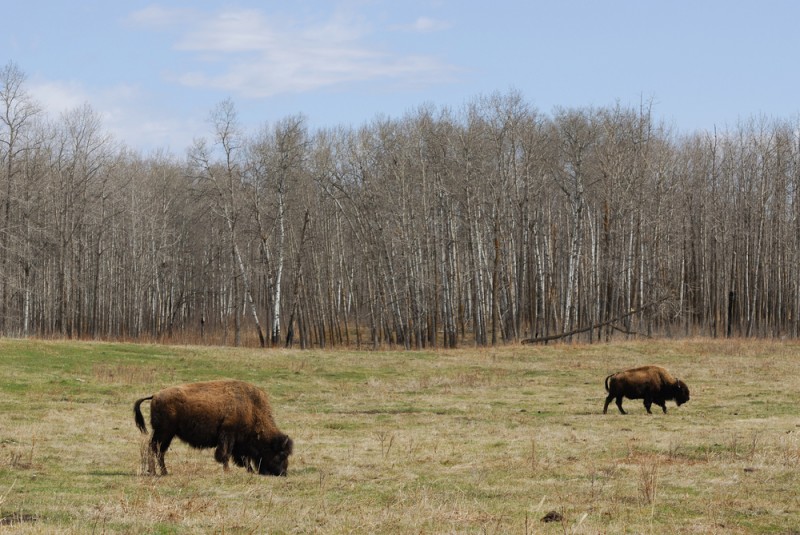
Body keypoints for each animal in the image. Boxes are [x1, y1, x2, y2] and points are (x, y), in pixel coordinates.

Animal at [134, 382, 294, 478]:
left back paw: (164, 472)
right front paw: (228, 470)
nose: (283, 473)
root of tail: (155, 395)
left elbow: (243, 457)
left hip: (167, 434)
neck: (251, 408)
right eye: (281, 454)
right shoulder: (228, 435)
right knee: (154, 448)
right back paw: (154, 472)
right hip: (164, 432)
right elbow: (225, 454)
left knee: (160, 451)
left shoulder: (240, 442)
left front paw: (249, 470)